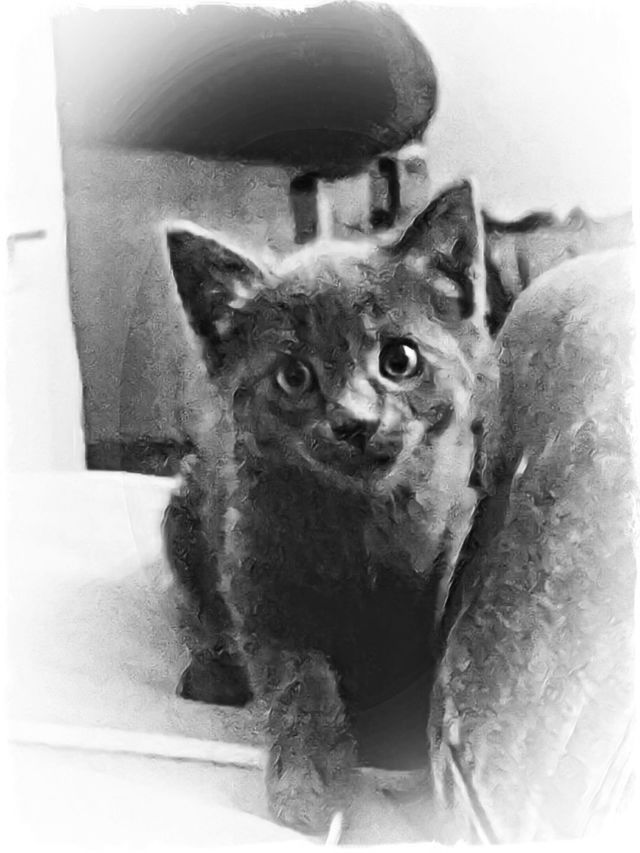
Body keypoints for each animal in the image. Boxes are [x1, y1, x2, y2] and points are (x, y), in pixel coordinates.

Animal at [162, 181, 497, 833]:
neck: (358, 522)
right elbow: (301, 688)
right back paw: (213, 671)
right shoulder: (264, 597)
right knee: (201, 611)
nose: (355, 422)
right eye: (294, 376)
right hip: (185, 515)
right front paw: (308, 785)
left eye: (399, 359)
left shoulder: (445, 549)